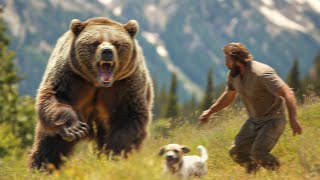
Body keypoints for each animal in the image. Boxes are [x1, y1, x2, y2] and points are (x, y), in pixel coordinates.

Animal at [28, 16, 153, 170]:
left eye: (116, 43)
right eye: (95, 43)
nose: (107, 51)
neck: (96, 83)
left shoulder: (127, 84)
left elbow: (128, 117)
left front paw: (115, 153)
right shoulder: (69, 74)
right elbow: (55, 96)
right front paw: (75, 128)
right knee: (49, 145)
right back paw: (41, 167)